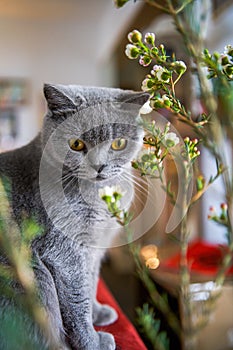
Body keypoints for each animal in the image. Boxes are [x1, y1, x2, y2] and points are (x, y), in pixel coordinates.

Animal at [0, 85, 148, 350]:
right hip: (33, 276)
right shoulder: (64, 252)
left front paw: (98, 313)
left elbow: (91, 282)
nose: (99, 166)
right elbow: (78, 297)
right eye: (76, 144)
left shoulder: (95, 247)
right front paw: (92, 341)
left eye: (118, 143)